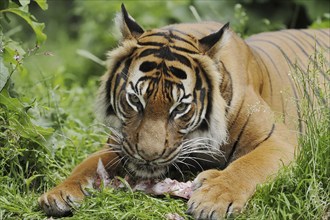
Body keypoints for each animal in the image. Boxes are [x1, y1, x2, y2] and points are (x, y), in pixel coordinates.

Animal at [38, 3, 328, 220]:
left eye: (180, 108)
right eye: (135, 100)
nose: (148, 157)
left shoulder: (279, 140)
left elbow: (247, 166)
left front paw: (213, 198)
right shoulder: (119, 143)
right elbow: (86, 164)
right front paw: (58, 193)